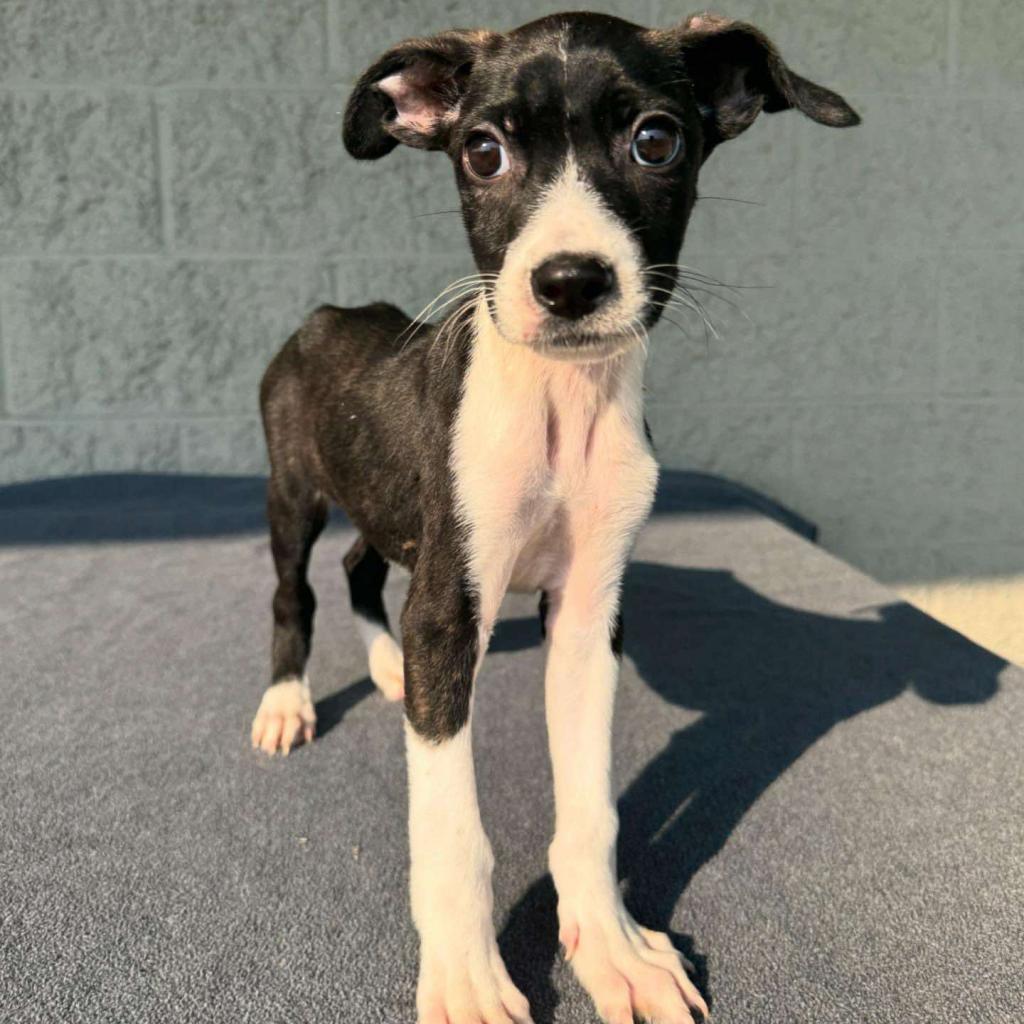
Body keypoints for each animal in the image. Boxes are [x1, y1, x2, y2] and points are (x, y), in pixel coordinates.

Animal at [251, 9, 860, 1024]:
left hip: (387, 504)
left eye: (656, 140)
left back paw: (385, 666)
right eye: (482, 151)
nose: (571, 281)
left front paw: (611, 948)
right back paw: (288, 701)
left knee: (358, 567)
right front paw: (465, 976)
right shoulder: (449, 608)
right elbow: (453, 832)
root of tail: (326, 313)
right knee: (294, 590)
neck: (561, 406)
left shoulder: (584, 614)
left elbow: (592, 812)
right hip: (293, 491)